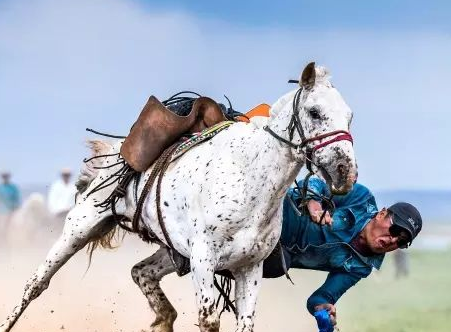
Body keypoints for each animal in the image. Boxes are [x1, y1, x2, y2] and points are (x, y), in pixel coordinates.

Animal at [1, 62, 358, 332]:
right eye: (314, 111)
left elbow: (244, 323)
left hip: (168, 249)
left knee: (140, 272)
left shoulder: (249, 268)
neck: (249, 178)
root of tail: (115, 152)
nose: (345, 172)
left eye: (349, 116)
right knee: (36, 284)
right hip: (78, 228)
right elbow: (208, 320)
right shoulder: (203, 261)